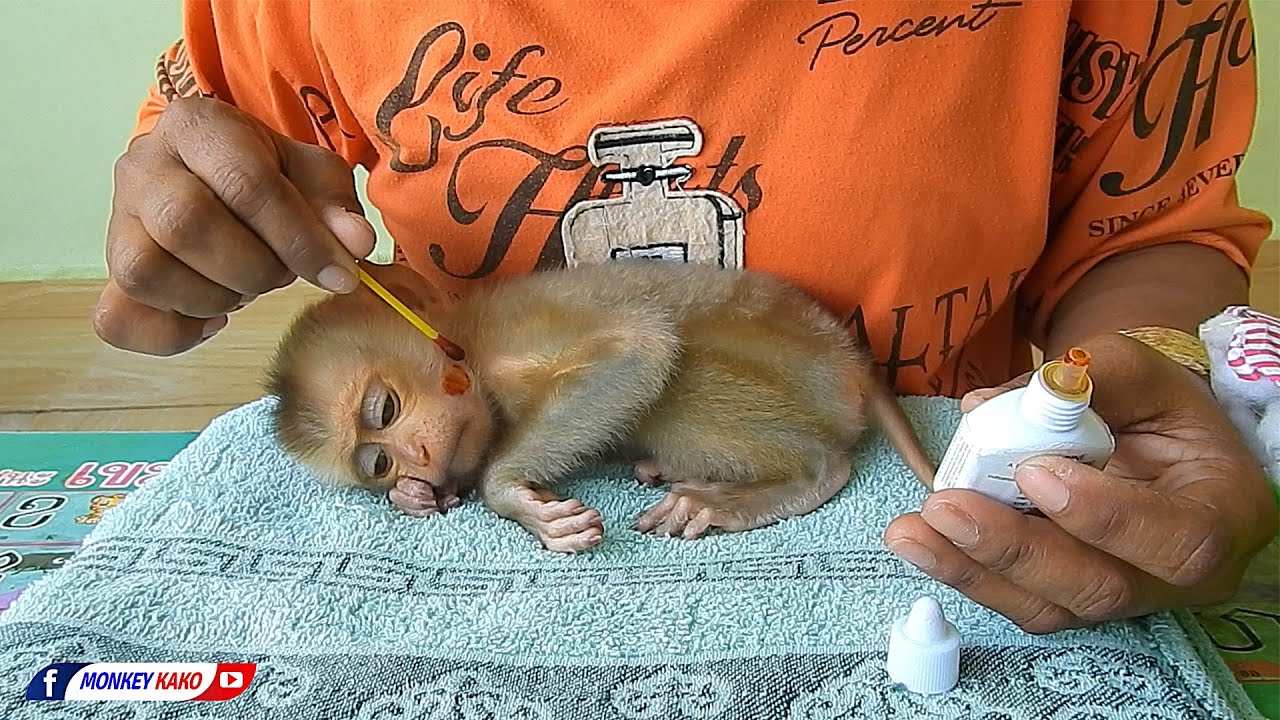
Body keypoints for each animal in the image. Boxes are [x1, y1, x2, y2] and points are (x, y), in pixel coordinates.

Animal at [263, 260, 935, 553]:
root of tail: (850, 357)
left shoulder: (512, 340)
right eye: (379, 464)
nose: (418, 457)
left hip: (803, 374)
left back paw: (797, 478)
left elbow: (637, 349)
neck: (473, 349)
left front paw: (506, 492)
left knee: (678, 369)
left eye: (384, 409)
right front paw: (418, 495)